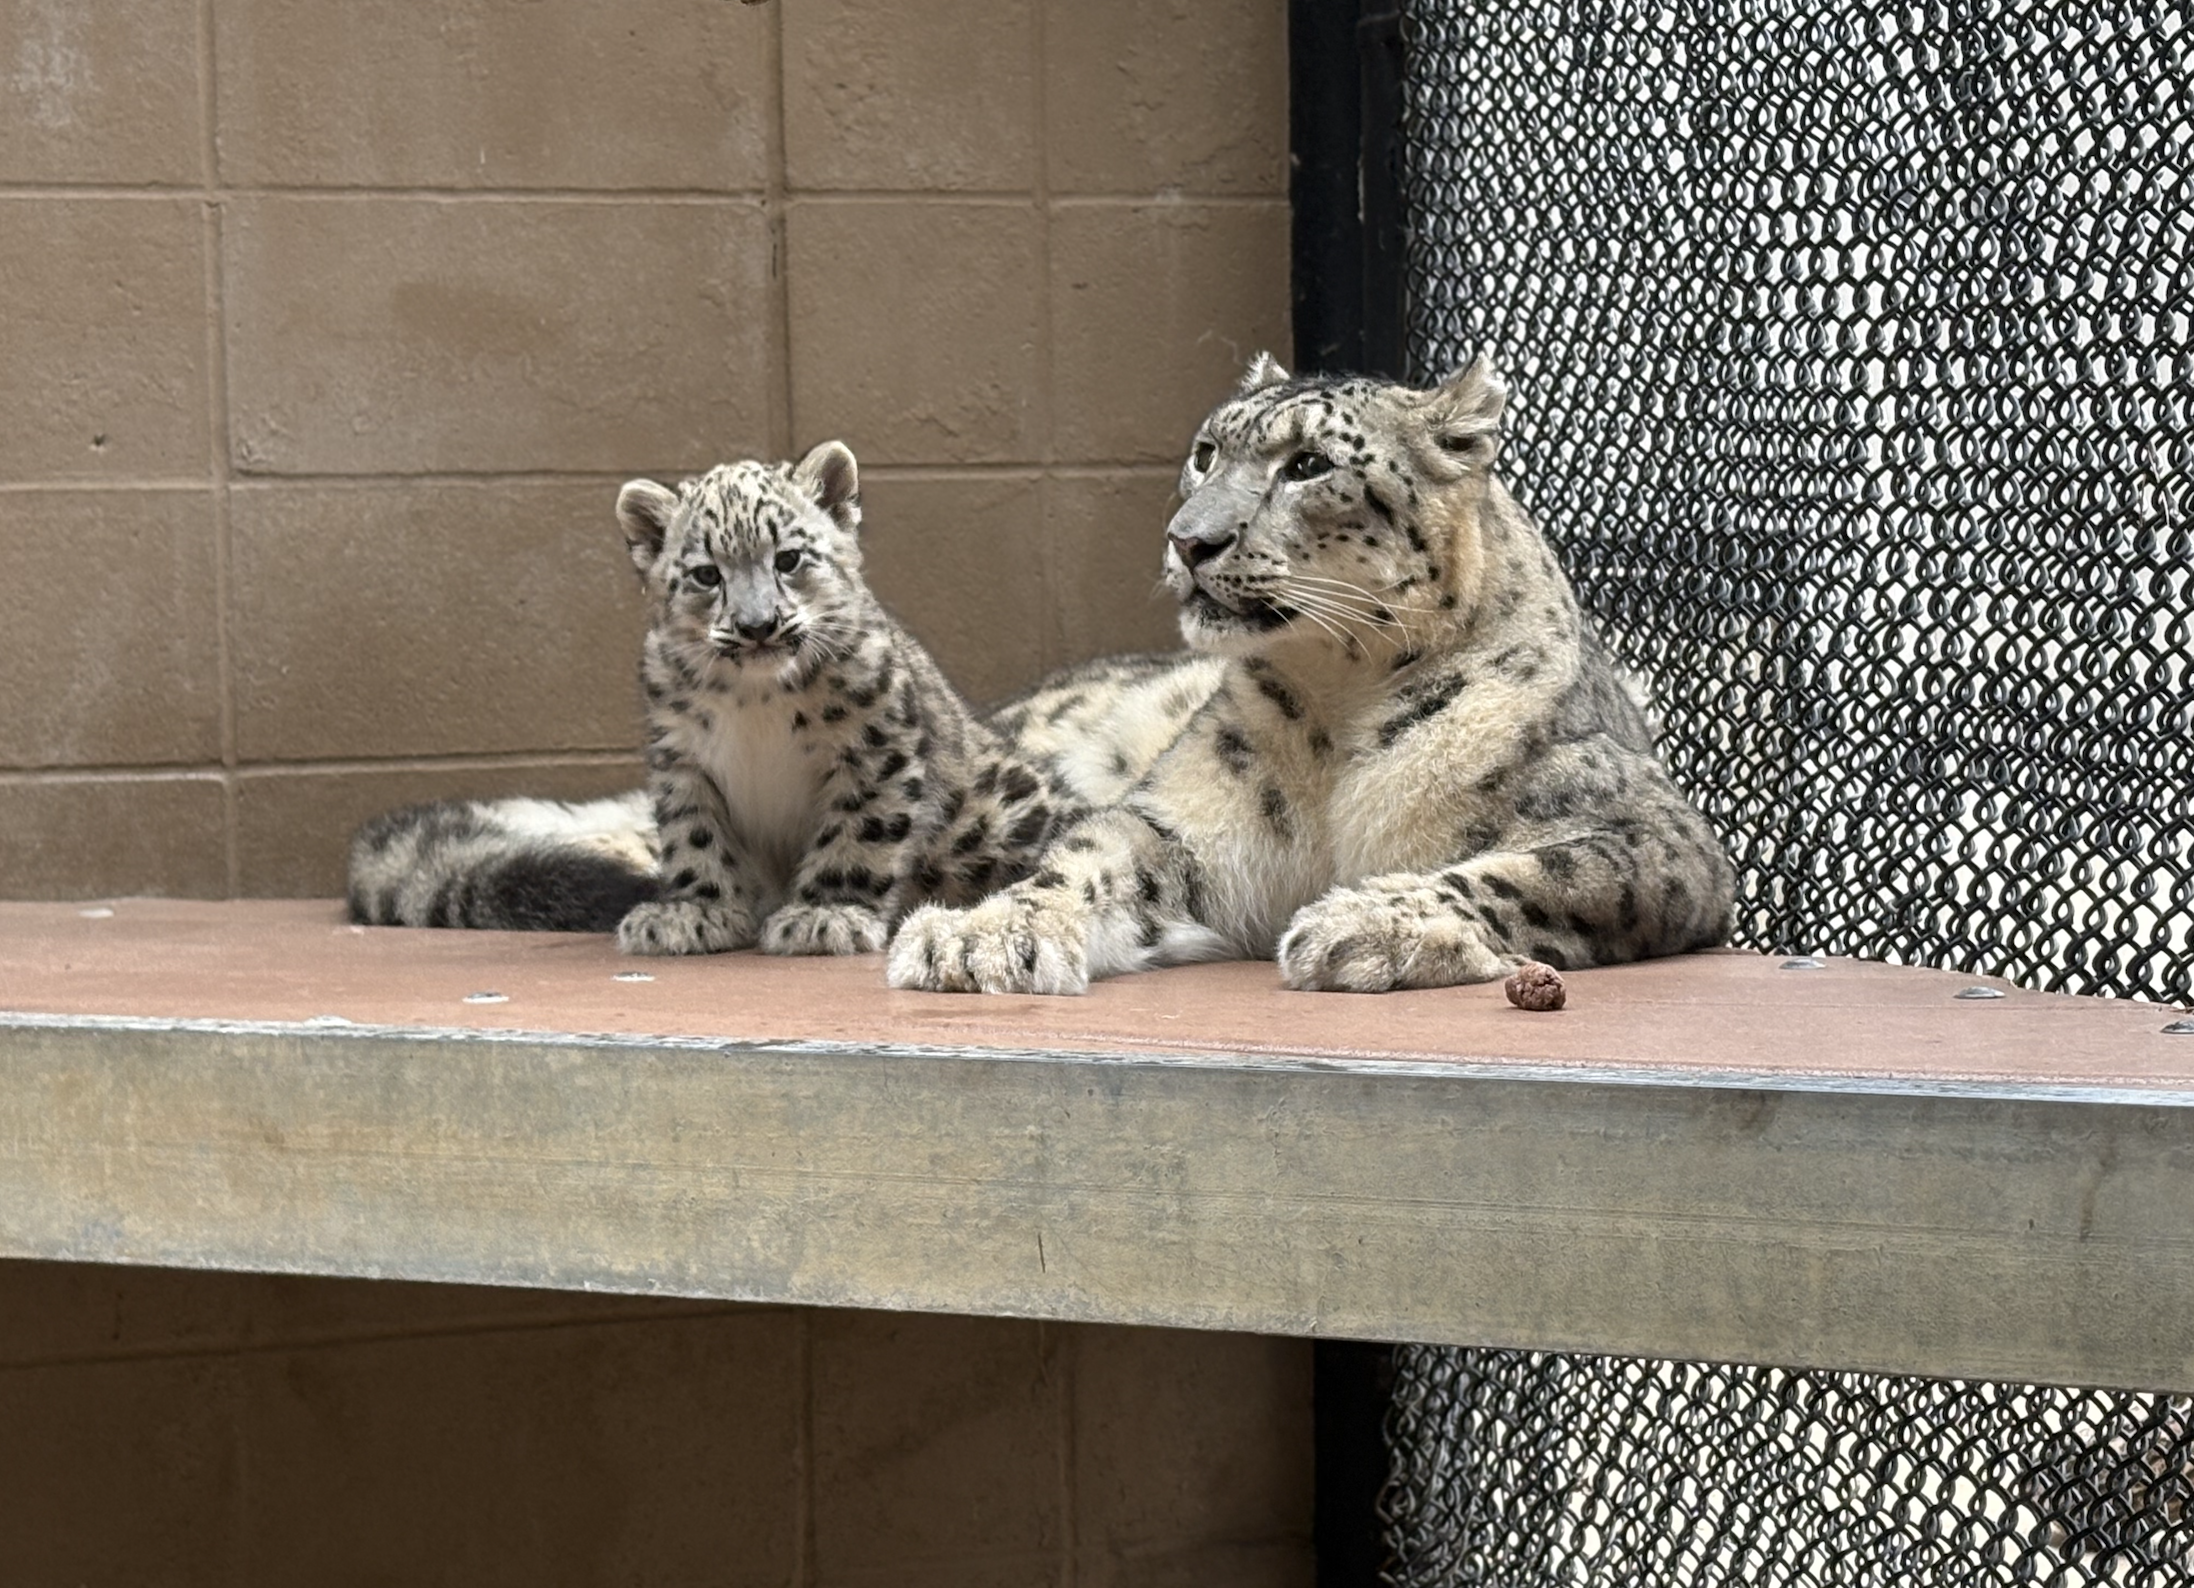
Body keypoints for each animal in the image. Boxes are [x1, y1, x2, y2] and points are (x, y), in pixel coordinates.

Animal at [346, 441, 1217, 953]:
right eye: (706, 572)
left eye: (790, 557)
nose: (759, 623)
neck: (753, 706)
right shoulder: (682, 762)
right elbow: (695, 840)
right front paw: (694, 912)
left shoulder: (874, 751)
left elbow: (858, 836)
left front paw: (822, 915)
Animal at [886, 353, 1738, 995]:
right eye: (1206, 452)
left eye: (1308, 465)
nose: (1189, 539)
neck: (1337, 705)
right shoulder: (1187, 823)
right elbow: (1095, 857)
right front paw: (981, 934)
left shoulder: (1645, 828)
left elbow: (1530, 870)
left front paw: (1369, 922)